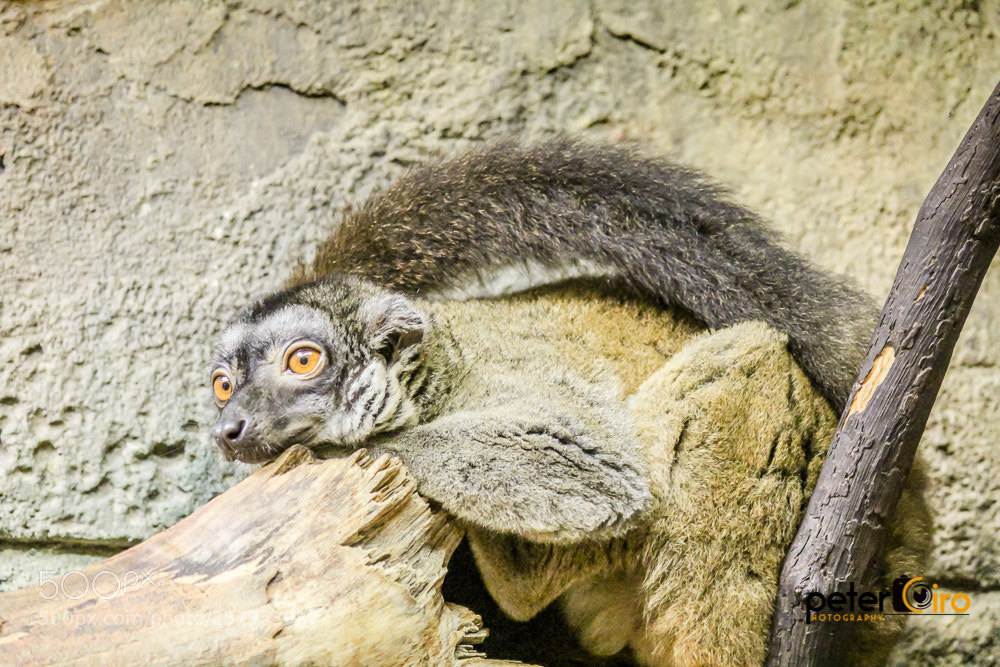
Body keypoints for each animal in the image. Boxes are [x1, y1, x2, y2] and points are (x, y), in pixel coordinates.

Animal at [208, 140, 925, 665]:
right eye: (222, 385)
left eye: (303, 361)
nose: (229, 427)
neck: (441, 369)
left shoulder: (512, 376)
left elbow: (601, 476)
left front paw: (340, 446)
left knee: (739, 360)